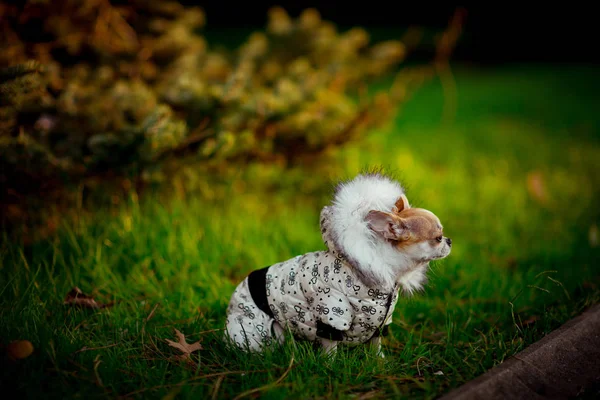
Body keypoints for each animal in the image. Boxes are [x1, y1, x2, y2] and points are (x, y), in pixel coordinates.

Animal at [225, 172, 450, 356]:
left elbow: (376, 344)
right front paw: (329, 365)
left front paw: (380, 362)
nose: (449, 240)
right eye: (437, 238)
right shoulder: (332, 314)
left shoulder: (381, 321)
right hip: (253, 330)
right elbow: (331, 348)